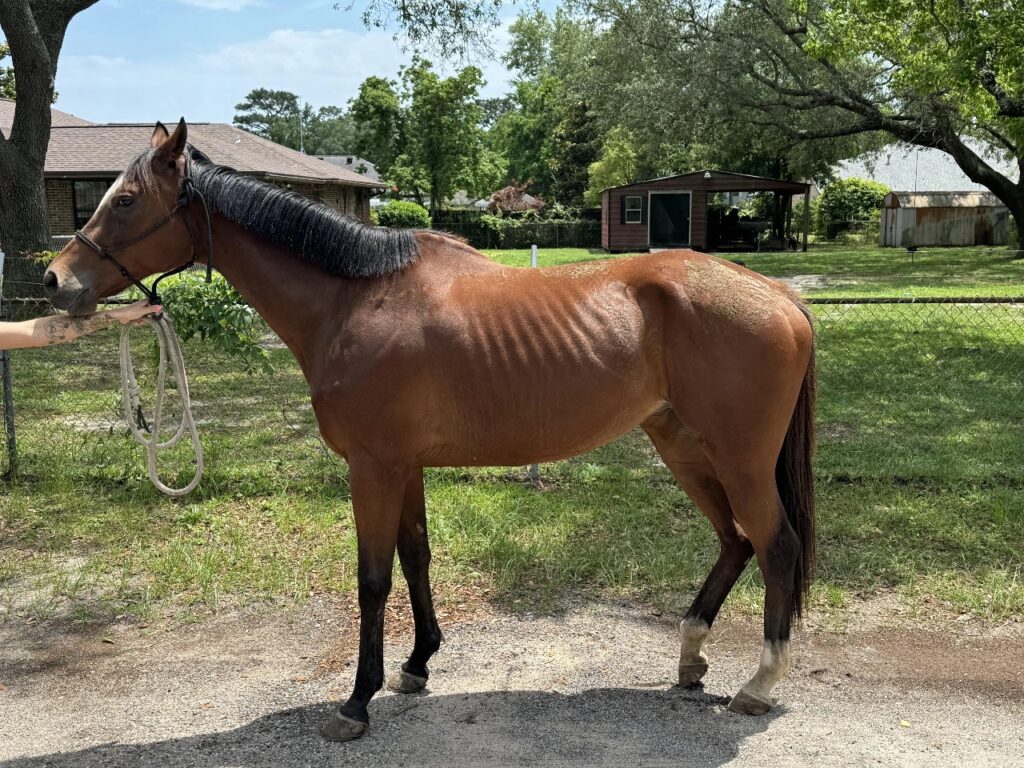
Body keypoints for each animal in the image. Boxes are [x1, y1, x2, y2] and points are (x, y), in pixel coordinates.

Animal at [45, 120, 816, 742]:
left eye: (126, 200)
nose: (56, 281)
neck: (354, 299)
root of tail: (777, 291)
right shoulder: (404, 466)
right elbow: (416, 558)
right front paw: (416, 664)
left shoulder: (372, 467)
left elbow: (372, 579)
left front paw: (356, 702)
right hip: (680, 444)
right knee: (734, 542)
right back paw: (690, 656)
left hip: (739, 459)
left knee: (775, 544)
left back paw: (759, 683)